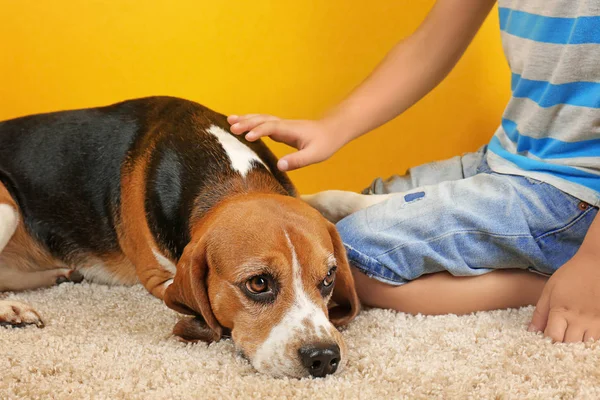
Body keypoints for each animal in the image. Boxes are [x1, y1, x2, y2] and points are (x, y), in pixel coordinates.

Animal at [0, 97, 356, 378]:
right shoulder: (159, 279)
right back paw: (12, 311)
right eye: (258, 284)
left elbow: (328, 196)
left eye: (329, 278)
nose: (324, 358)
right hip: (6, 205)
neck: (232, 177)